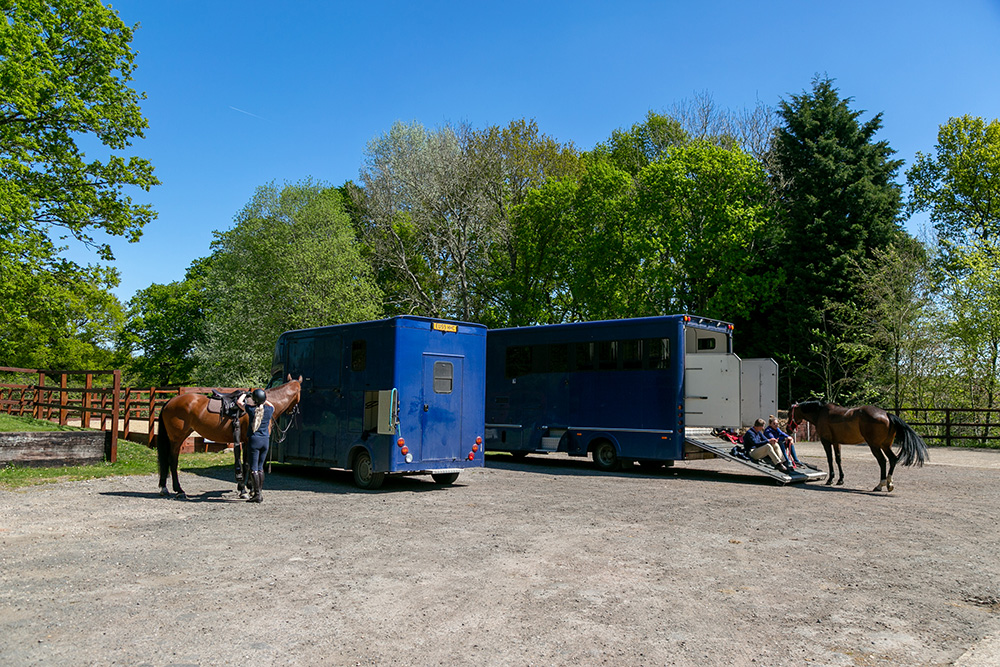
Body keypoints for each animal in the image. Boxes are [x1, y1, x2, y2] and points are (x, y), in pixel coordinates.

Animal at [154, 378, 302, 498]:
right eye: (300, 392)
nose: (294, 410)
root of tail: (170, 401)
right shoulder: (249, 441)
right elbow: (248, 464)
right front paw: (246, 490)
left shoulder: (246, 441)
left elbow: (247, 464)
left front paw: (248, 488)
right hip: (177, 438)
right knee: (172, 460)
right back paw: (179, 490)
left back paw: (165, 488)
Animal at [788, 402, 928, 490]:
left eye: (790, 414)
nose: (788, 429)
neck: (820, 413)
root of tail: (887, 414)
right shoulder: (836, 442)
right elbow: (838, 459)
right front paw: (840, 479)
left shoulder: (826, 442)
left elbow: (830, 460)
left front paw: (830, 479)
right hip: (885, 445)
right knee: (893, 459)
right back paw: (889, 484)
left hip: (875, 446)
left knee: (882, 461)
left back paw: (880, 485)